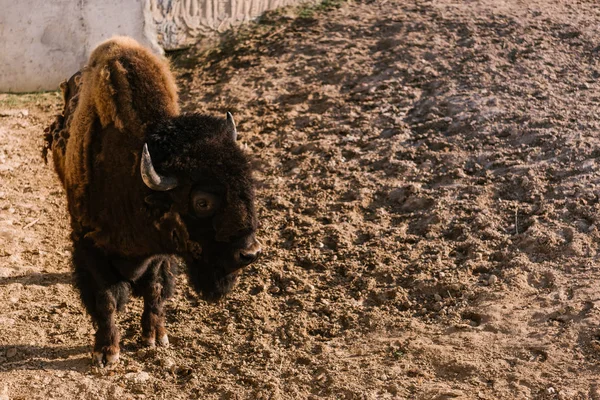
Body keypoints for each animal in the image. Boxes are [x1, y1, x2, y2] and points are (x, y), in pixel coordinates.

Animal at [43, 36, 262, 366]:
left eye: (248, 185)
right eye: (201, 202)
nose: (249, 253)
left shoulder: (159, 255)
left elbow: (155, 290)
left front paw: (156, 338)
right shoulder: (89, 245)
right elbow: (106, 301)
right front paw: (106, 353)